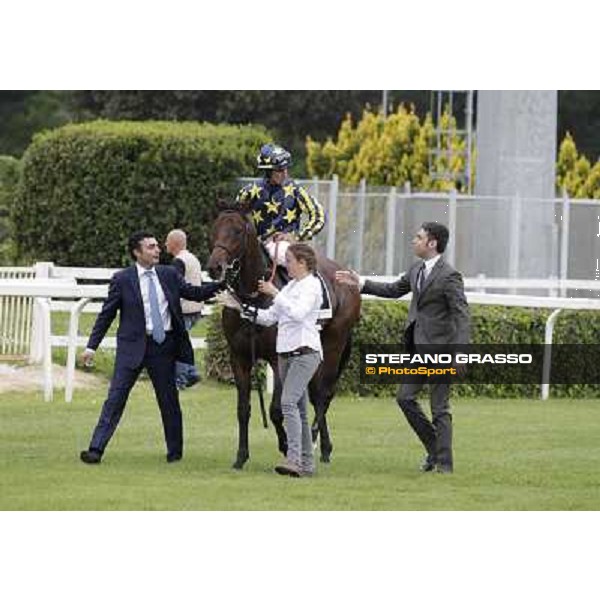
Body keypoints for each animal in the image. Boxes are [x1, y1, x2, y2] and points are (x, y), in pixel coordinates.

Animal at [206, 204, 360, 466]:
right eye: (215, 228)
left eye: (237, 231)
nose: (215, 266)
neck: (254, 297)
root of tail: (345, 274)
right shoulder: (239, 358)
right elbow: (243, 409)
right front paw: (241, 456)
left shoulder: (278, 359)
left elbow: (276, 409)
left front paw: (286, 445)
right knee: (314, 394)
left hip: (334, 345)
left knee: (322, 394)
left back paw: (323, 446)